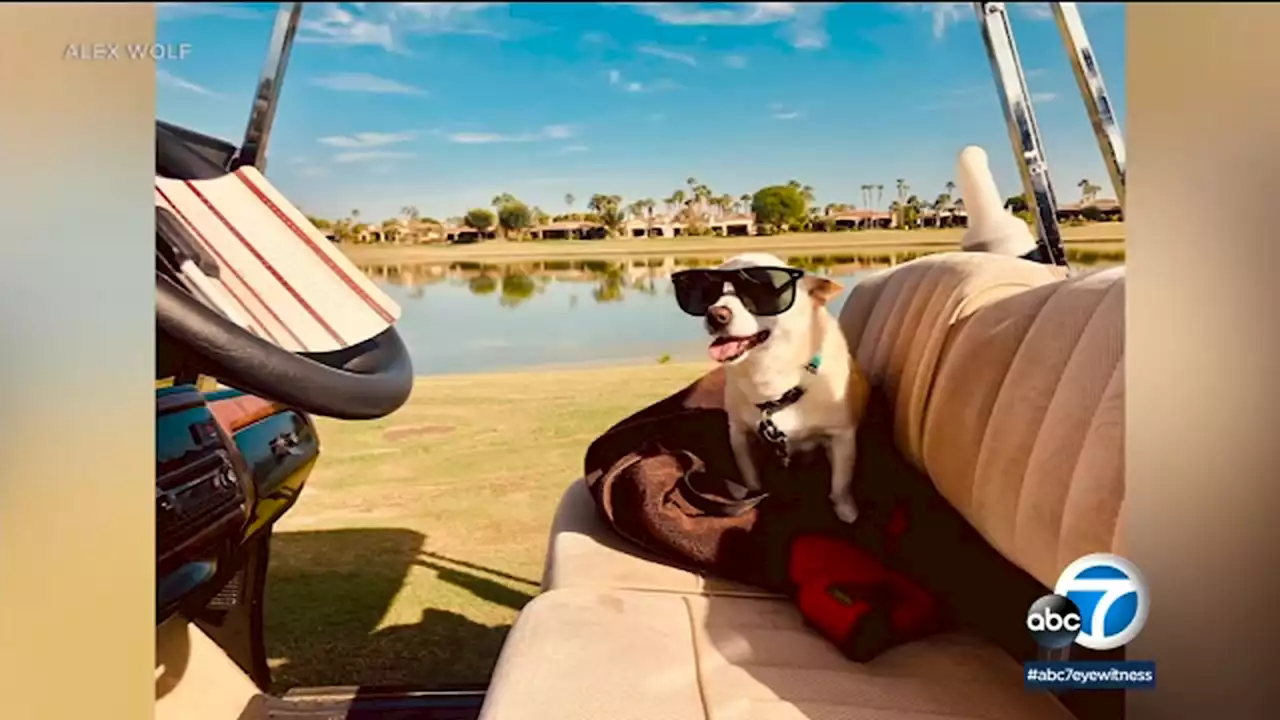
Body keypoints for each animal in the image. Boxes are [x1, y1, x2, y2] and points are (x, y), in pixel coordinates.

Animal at [670, 252, 870, 520]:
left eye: (762, 290)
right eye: (708, 292)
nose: (715, 314)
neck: (771, 377)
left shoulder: (842, 437)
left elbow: (841, 484)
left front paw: (847, 512)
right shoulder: (740, 435)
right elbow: (751, 477)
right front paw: (750, 497)